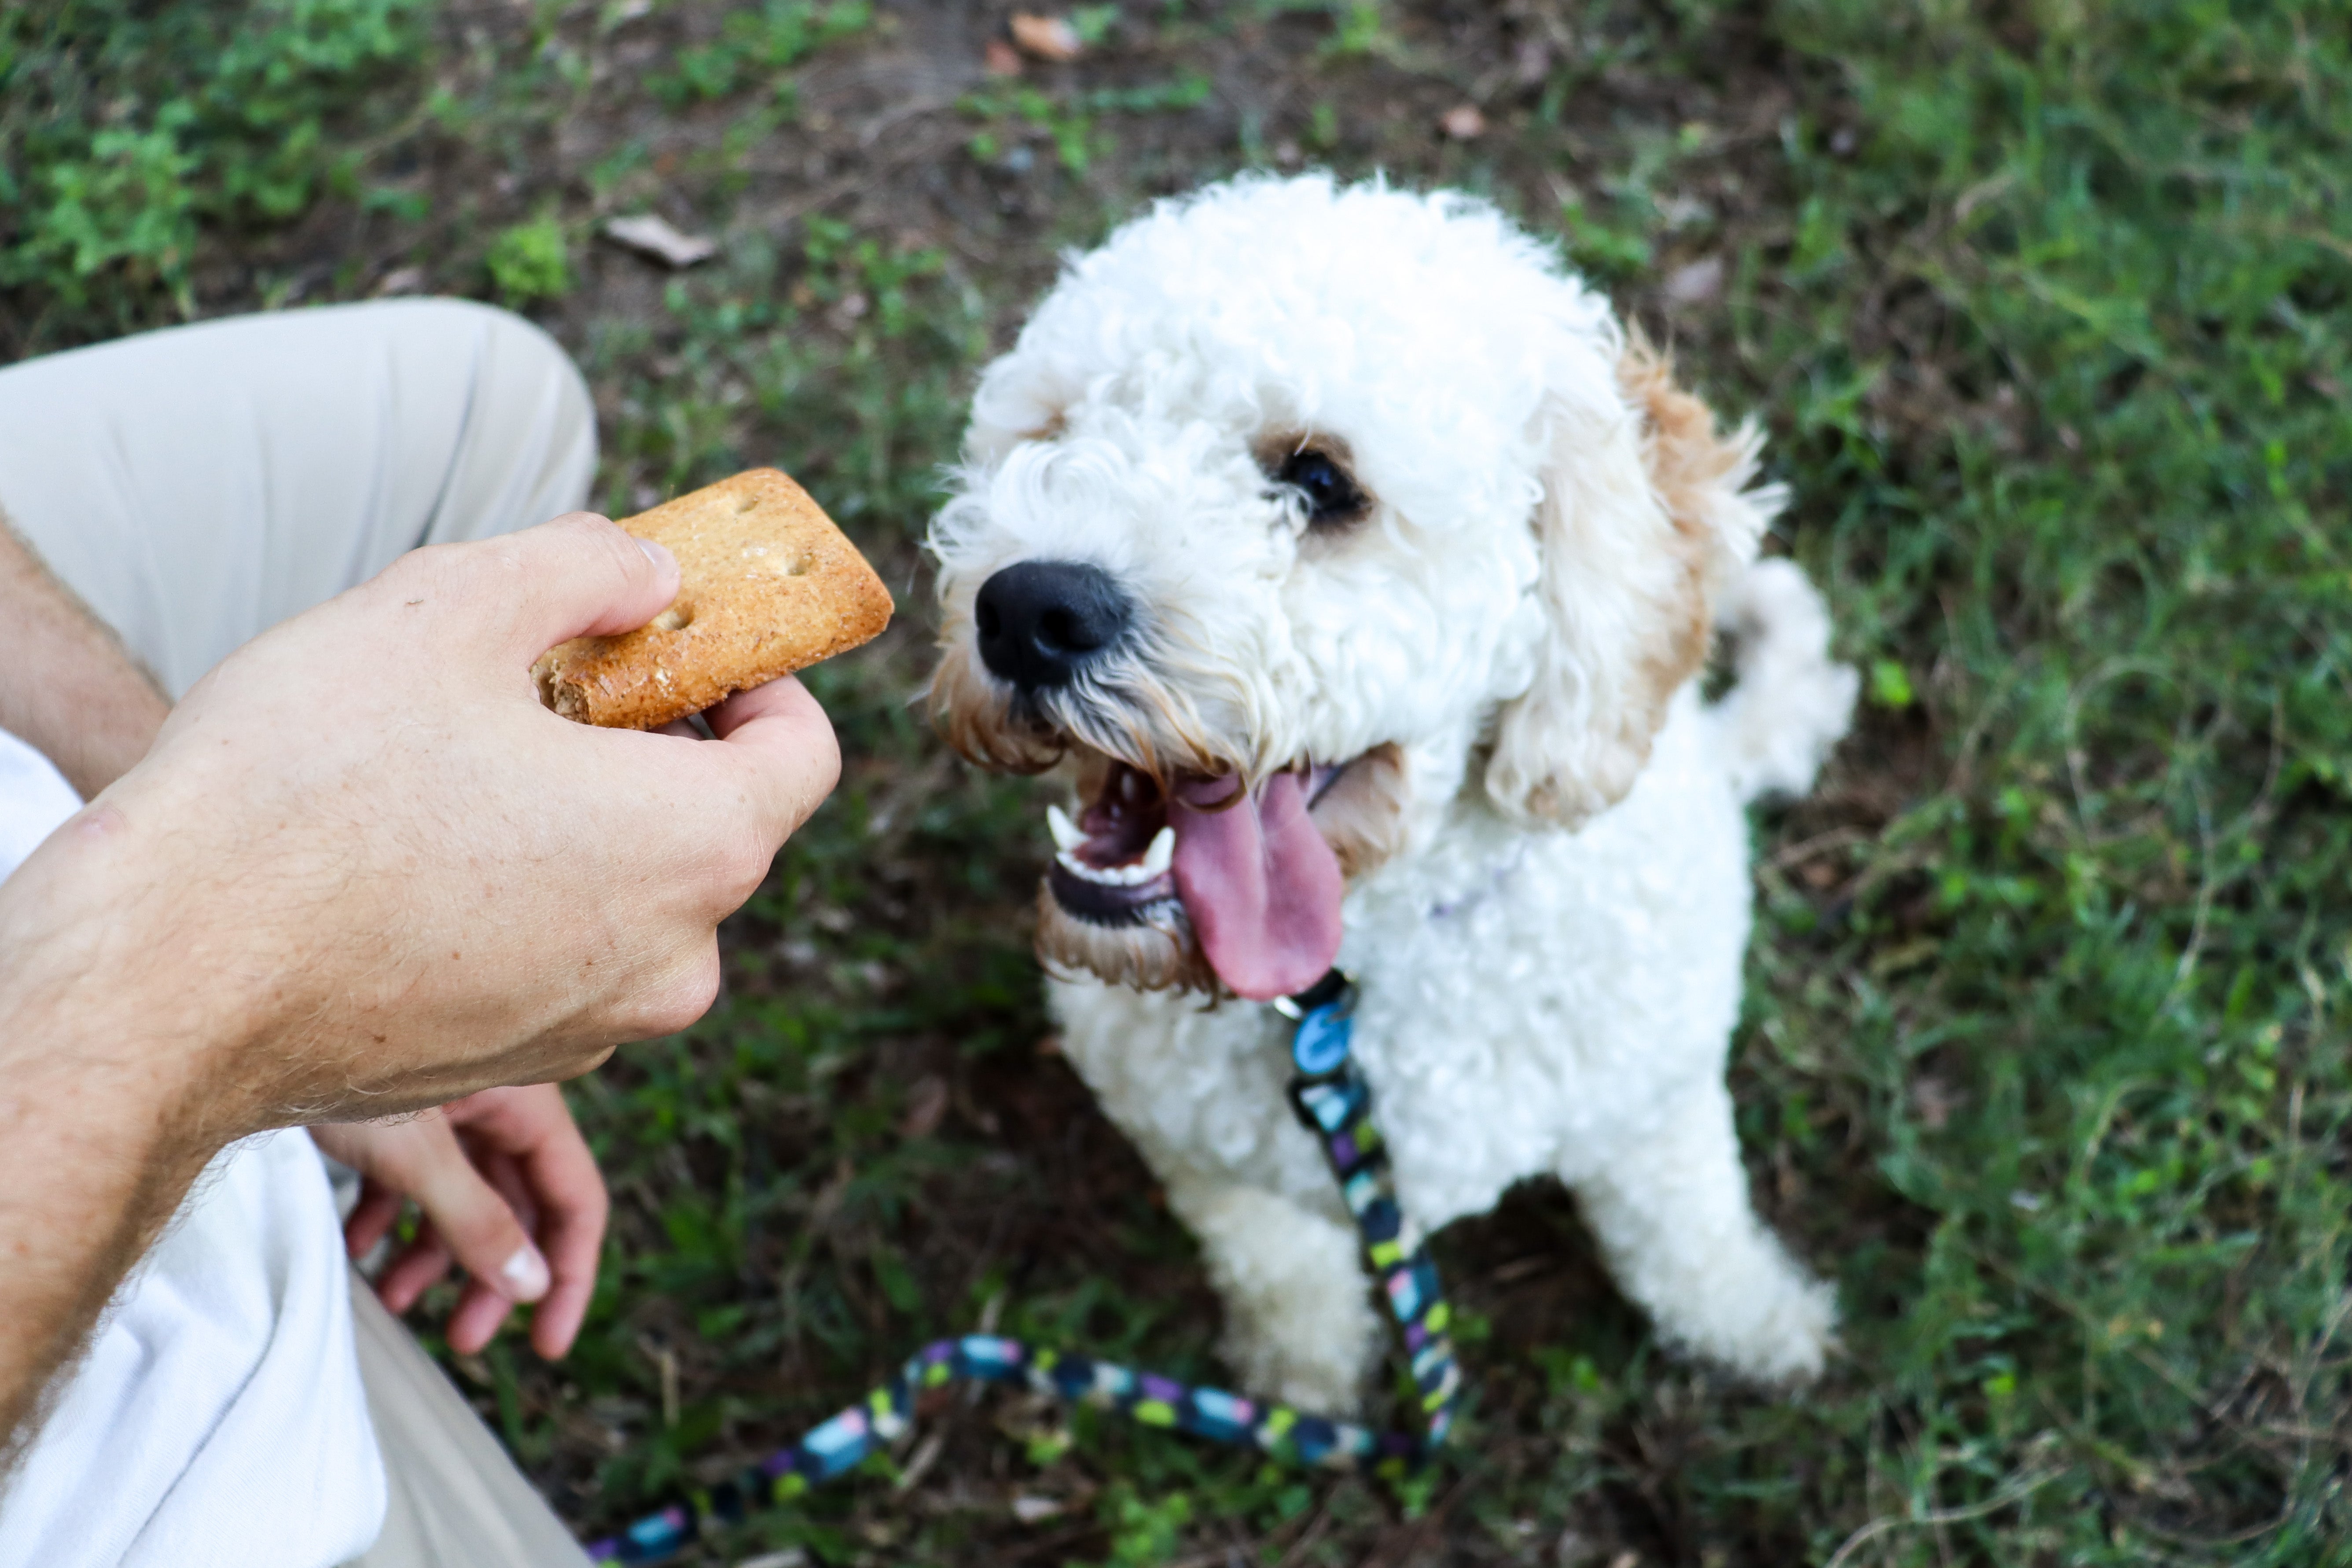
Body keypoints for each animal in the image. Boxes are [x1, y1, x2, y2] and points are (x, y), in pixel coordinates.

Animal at [917, 177, 1853, 1420]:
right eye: (1056, 437)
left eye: (1319, 482)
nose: (1026, 611)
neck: (1359, 982)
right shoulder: (1197, 1151)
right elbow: (1279, 1264)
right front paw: (1304, 1380)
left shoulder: (1655, 1098)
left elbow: (1687, 1225)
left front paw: (1756, 1325)